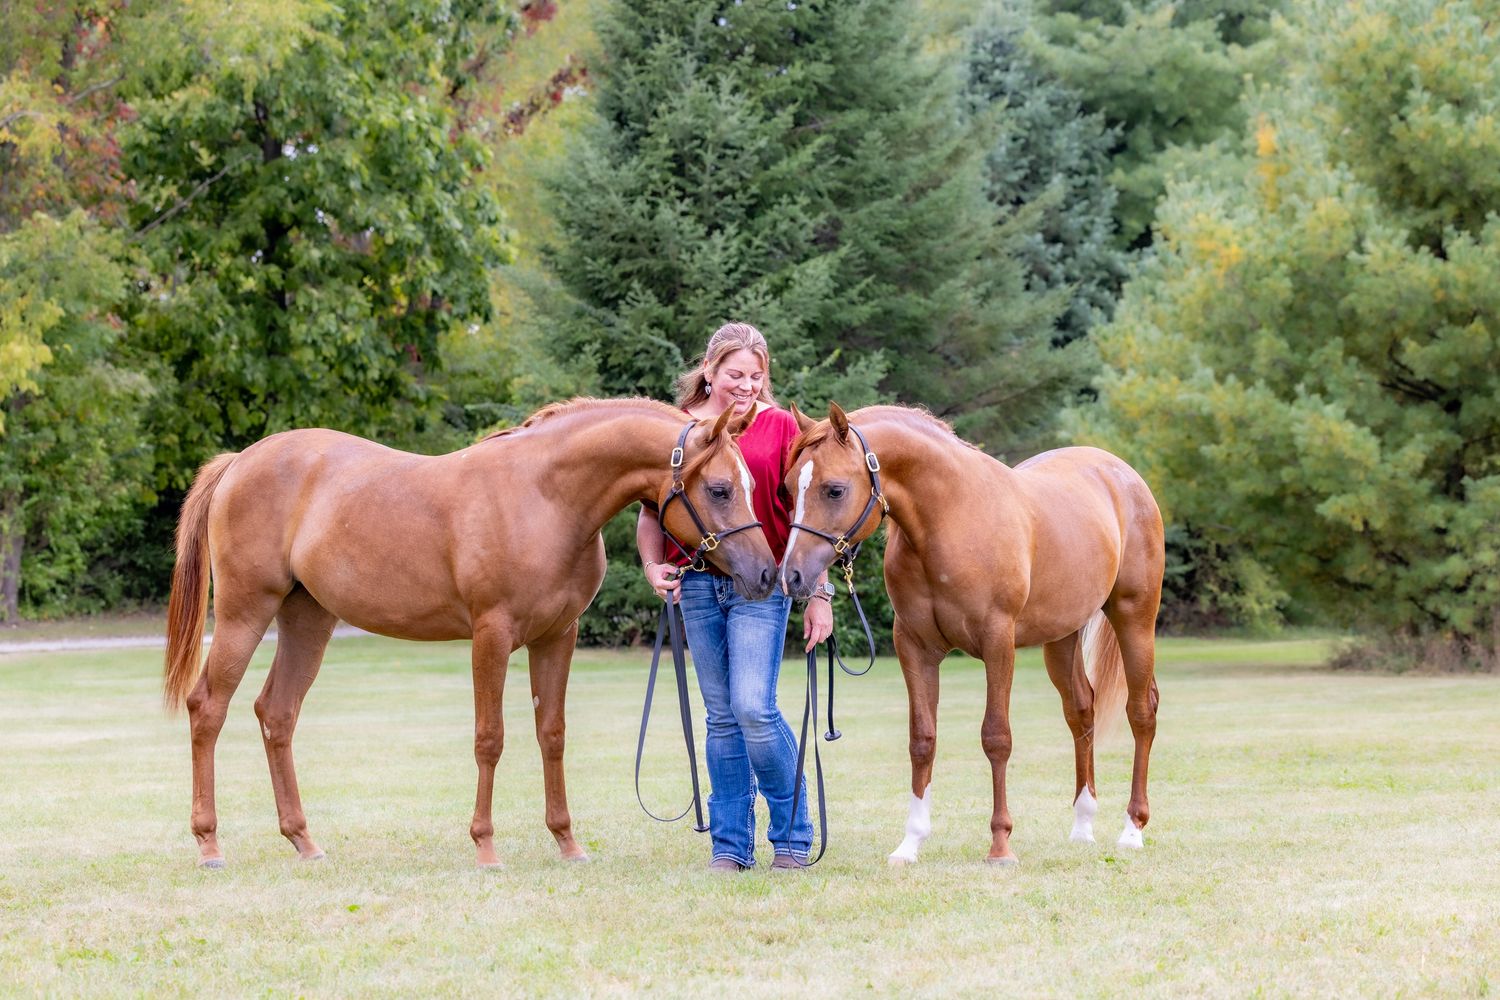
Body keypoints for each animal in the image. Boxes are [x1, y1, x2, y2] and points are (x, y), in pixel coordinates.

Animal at [162, 398, 777, 869]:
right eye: (720, 489)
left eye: (748, 483)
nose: (766, 574)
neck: (544, 498)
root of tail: (240, 462)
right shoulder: (492, 634)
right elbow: (490, 739)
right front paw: (485, 848)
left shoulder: (559, 636)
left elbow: (551, 735)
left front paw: (567, 843)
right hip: (245, 612)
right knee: (207, 708)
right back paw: (209, 844)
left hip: (307, 618)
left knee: (277, 713)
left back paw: (304, 841)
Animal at [778, 403, 1163, 866]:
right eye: (787, 488)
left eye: (834, 490)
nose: (792, 577)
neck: (950, 519)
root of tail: (1122, 474)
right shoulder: (914, 647)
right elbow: (922, 739)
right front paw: (910, 843)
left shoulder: (997, 643)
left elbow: (996, 738)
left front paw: (1000, 845)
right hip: (1062, 637)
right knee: (1081, 711)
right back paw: (1082, 825)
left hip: (1134, 618)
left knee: (1141, 712)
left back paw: (1133, 829)